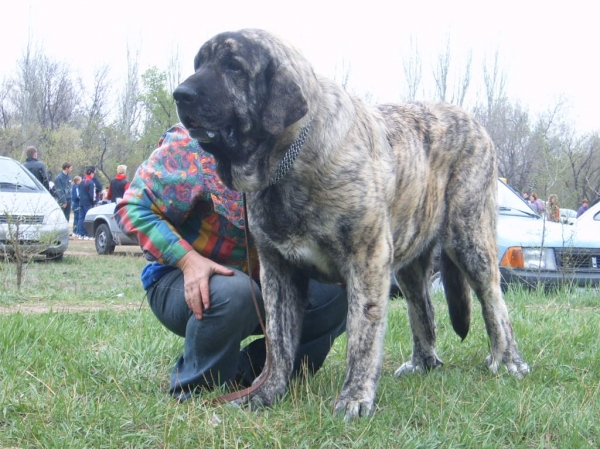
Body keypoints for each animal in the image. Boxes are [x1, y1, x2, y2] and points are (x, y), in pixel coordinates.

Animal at [173, 28, 528, 420]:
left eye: (233, 67)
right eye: (199, 64)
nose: (181, 94)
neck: (290, 160)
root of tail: (473, 121)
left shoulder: (367, 260)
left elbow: (362, 335)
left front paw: (355, 398)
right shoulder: (278, 270)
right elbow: (278, 343)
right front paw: (266, 392)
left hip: (469, 239)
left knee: (494, 303)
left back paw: (507, 360)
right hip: (410, 265)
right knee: (424, 310)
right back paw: (423, 363)